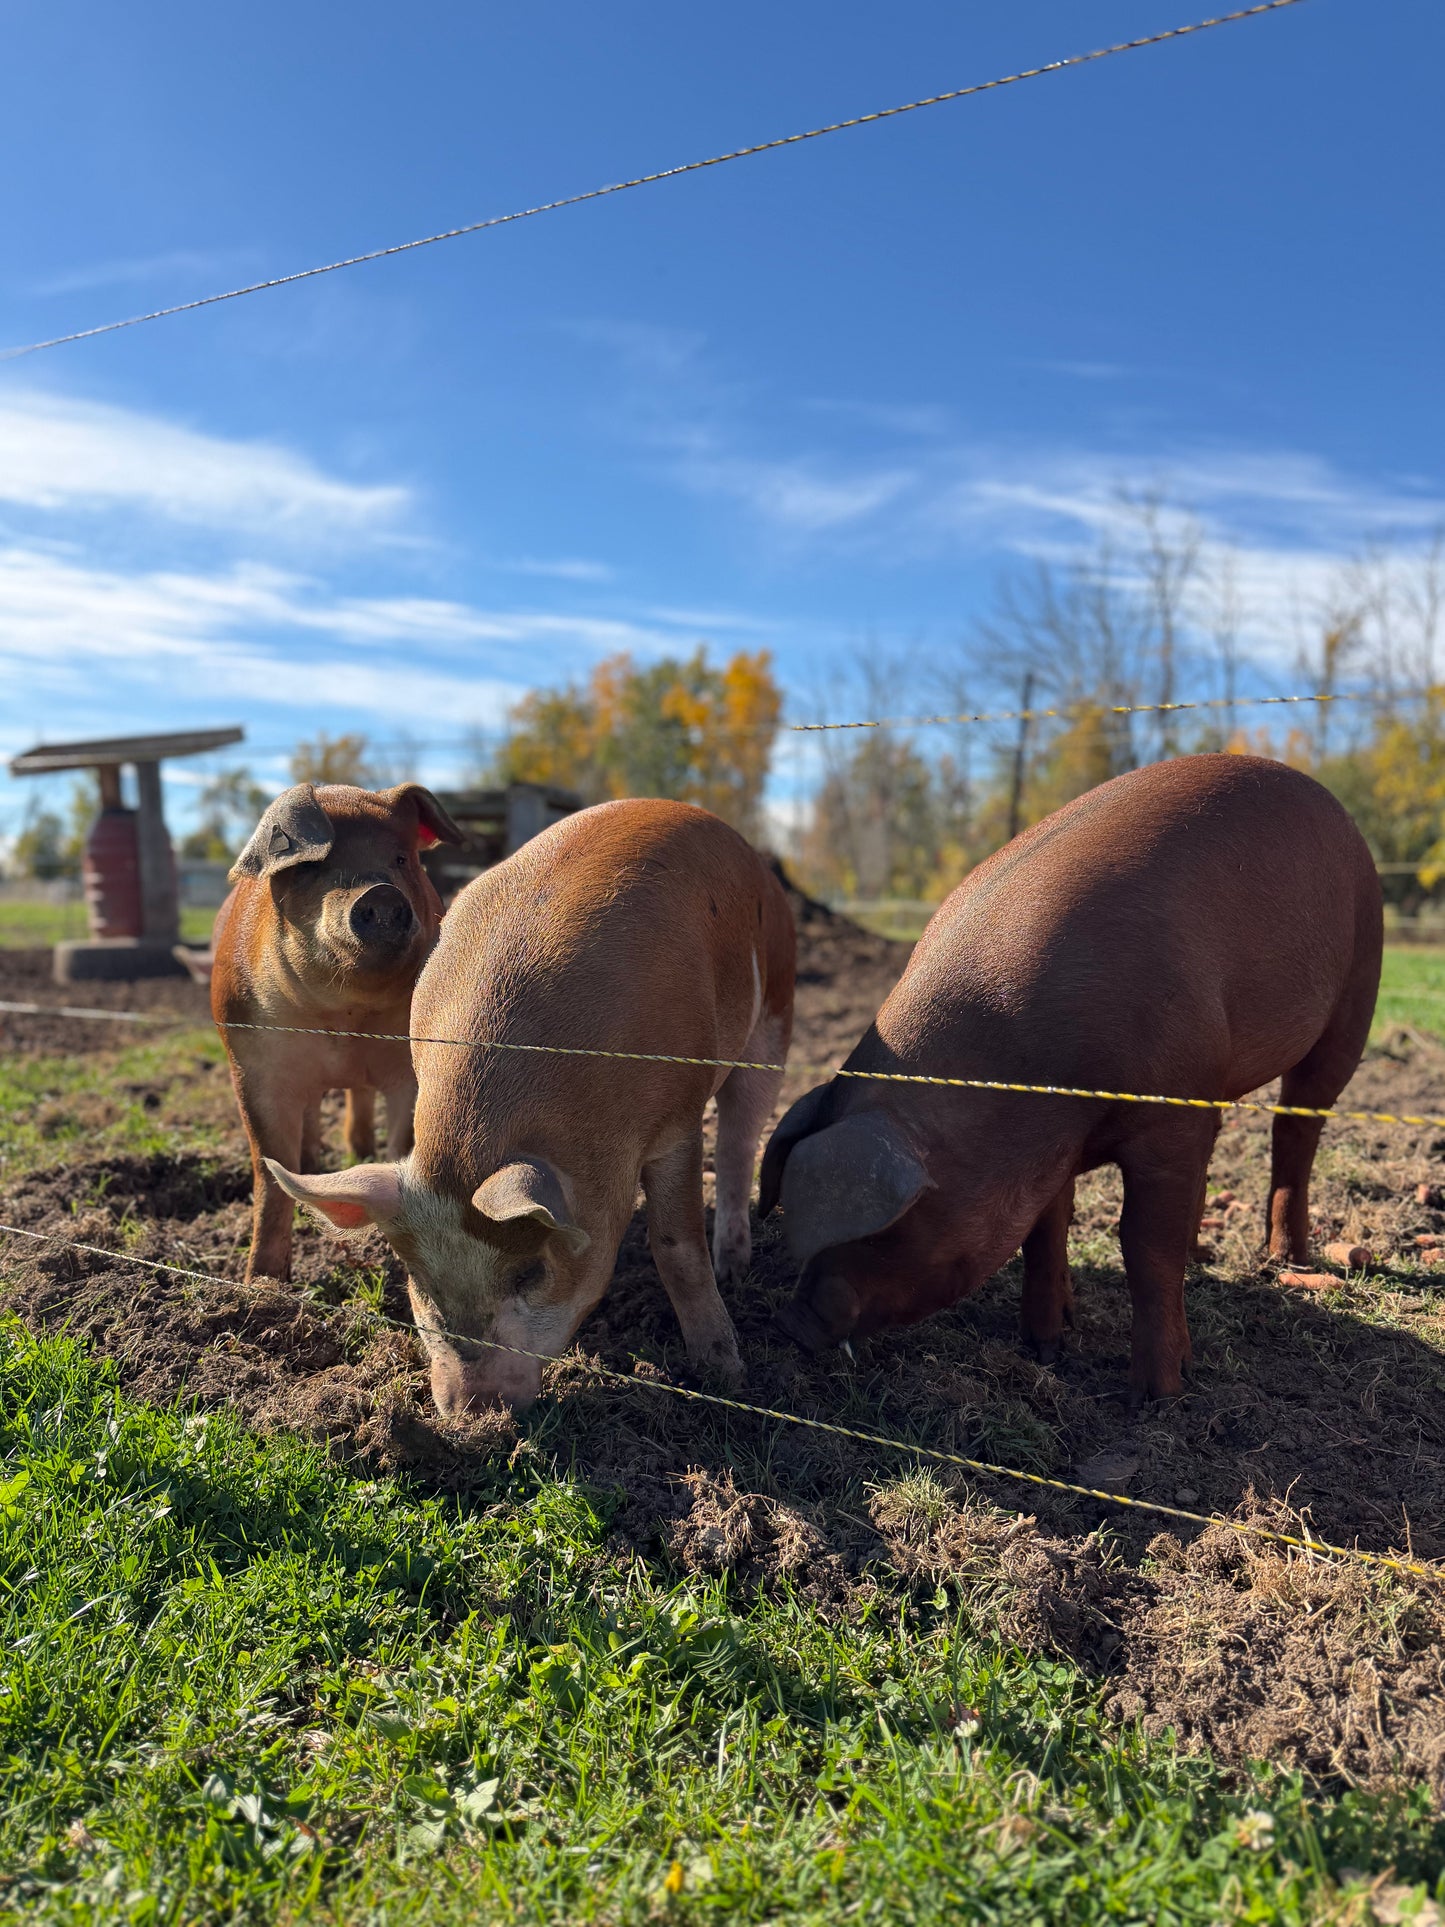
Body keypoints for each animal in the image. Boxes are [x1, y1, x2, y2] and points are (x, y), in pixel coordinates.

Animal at [212, 781, 465, 1283]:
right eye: (314, 867)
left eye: (401, 859)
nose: (380, 894)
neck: (346, 1019)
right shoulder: (252, 1064)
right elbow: (271, 1175)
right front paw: (261, 1283)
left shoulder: (407, 1071)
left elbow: (401, 1143)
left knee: (357, 1099)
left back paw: (357, 1151)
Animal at [261, 797, 796, 1412]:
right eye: (422, 1284)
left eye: (530, 1273)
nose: (469, 1412)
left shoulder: (678, 1121)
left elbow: (676, 1247)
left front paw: (723, 1373)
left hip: (775, 1013)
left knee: (738, 1143)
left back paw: (734, 1270)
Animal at [760, 754, 1382, 1401]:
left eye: (886, 1230)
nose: (791, 1321)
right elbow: (1046, 1229)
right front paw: (1046, 1347)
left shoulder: (1167, 1114)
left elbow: (1144, 1245)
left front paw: (1157, 1395)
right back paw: (1204, 1254)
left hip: (1358, 987)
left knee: (1297, 1130)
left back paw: (1285, 1262)